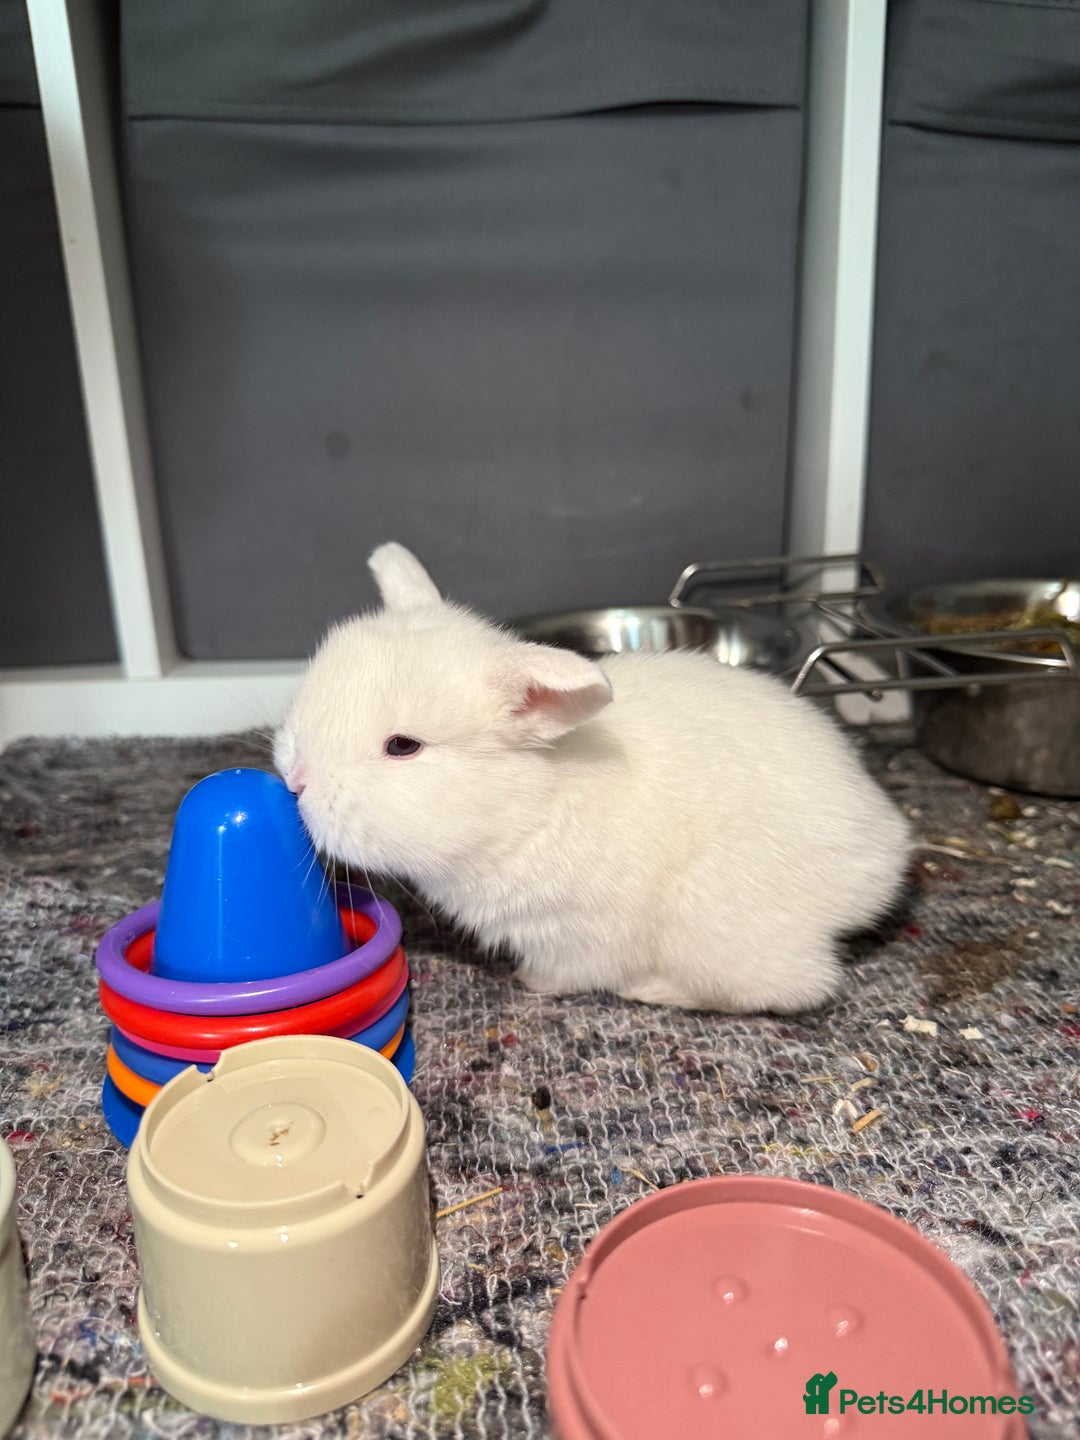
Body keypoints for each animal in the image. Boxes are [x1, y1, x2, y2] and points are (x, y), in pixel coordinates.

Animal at [274, 543, 911, 1013]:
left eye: (403, 746)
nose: (298, 780)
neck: (528, 804)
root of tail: (884, 858)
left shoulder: (575, 935)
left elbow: (569, 972)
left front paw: (531, 983)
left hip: (713, 923)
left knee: (794, 988)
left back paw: (656, 990)